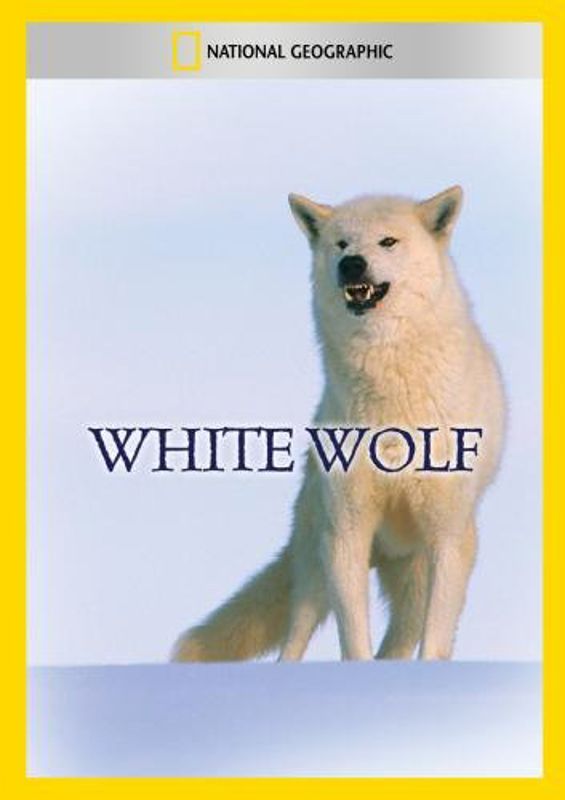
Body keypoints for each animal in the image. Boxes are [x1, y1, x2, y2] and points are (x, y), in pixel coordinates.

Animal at [172, 186, 505, 662]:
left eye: (388, 242)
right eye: (341, 243)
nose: (351, 264)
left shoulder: (446, 536)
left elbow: (436, 642)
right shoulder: (347, 532)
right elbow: (354, 638)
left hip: (416, 579)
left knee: (399, 642)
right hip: (318, 564)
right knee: (295, 639)